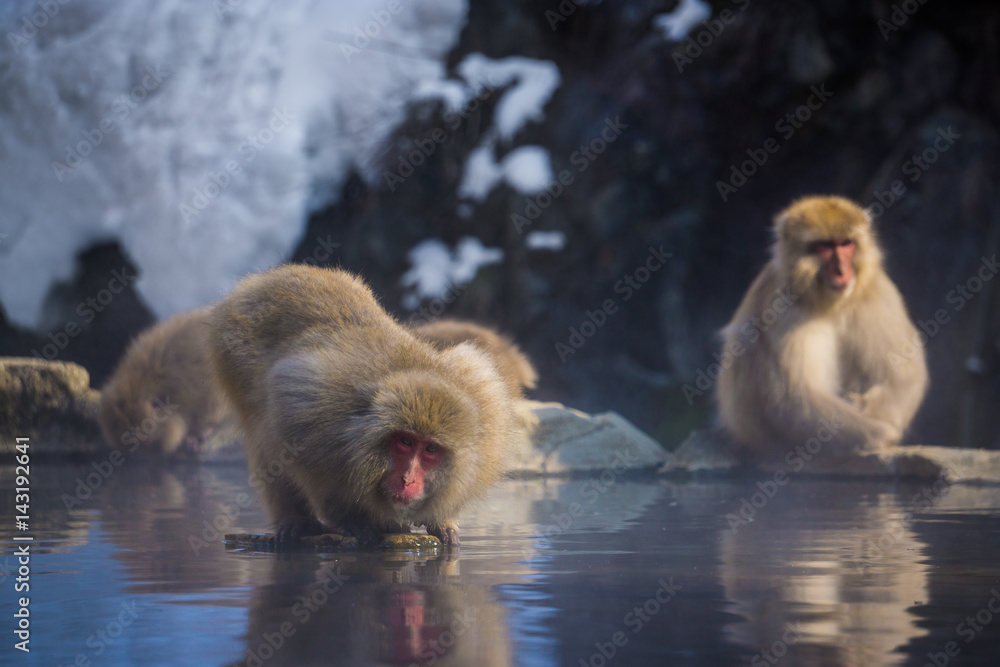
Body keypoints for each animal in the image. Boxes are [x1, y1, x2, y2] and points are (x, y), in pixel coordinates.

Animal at [207, 265, 520, 546]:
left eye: (430, 449)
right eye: (405, 441)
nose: (408, 480)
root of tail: (270, 277)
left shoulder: (483, 400)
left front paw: (440, 519)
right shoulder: (310, 405)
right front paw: (353, 520)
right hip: (233, 348)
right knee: (263, 430)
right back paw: (299, 523)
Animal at [716, 195, 928, 462]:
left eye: (846, 244)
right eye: (825, 247)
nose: (842, 270)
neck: (829, 301)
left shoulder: (877, 292)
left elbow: (902, 375)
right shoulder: (782, 307)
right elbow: (792, 396)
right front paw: (879, 434)